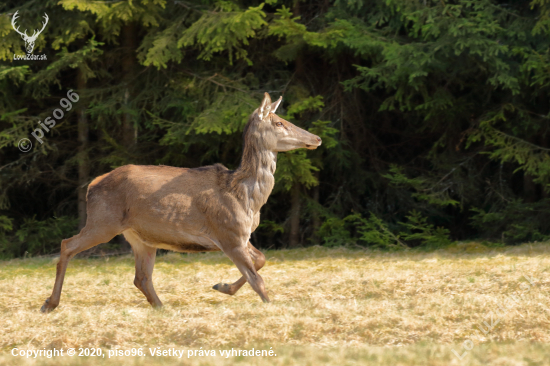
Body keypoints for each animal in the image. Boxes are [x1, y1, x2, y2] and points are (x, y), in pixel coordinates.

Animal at [42, 93, 324, 314]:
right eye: (279, 122)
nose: (317, 138)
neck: (247, 198)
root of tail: (92, 185)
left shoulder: (240, 235)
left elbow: (261, 260)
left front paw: (222, 287)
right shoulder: (229, 232)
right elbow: (257, 279)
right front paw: (270, 306)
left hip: (140, 236)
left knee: (141, 277)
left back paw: (161, 307)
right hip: (103, 221)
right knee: (67, 245)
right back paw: (50, 303)